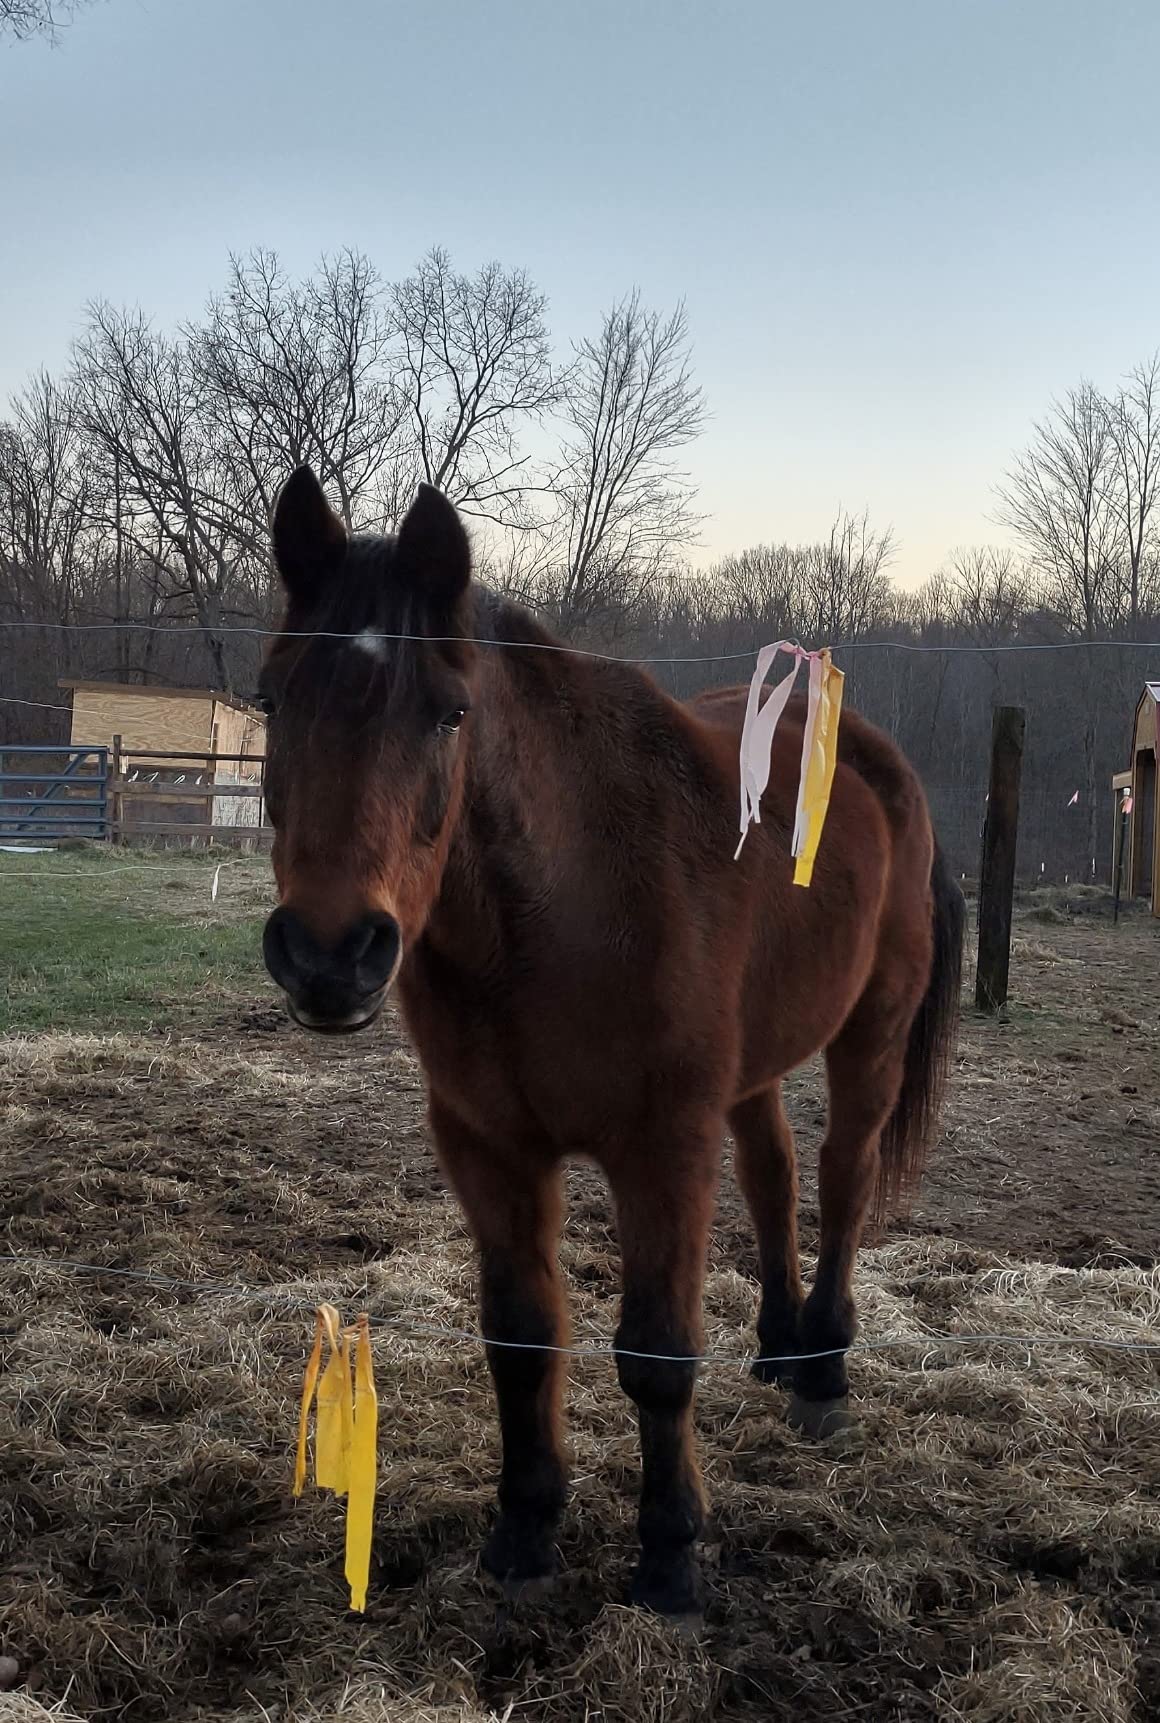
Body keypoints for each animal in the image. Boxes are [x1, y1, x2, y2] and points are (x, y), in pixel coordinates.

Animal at [259, 468, 964, 1620]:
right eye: (273, 698)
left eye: (449, 712)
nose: (329, 953)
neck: (563, 910)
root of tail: (878, 757)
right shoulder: (489, 1146)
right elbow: (519, 1335)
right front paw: (524, 1526)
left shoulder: (660, 1146)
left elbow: (657, 1351)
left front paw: (671, 1553)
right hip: (752, 1068)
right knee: (774, 1173)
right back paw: (776, 1345)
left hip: (871, 1034)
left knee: (842, 1174)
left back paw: (821, 1369)